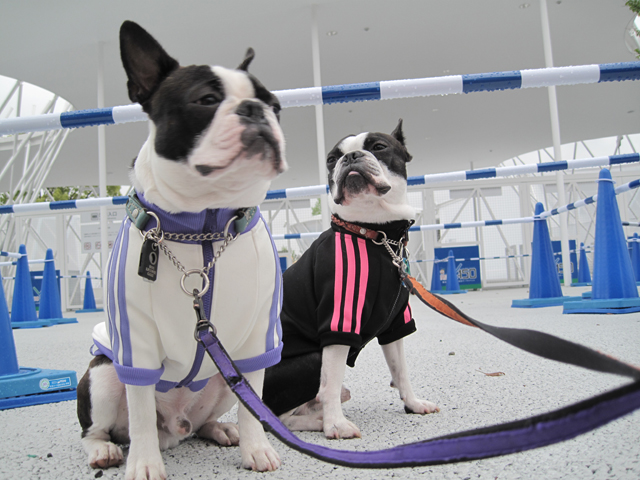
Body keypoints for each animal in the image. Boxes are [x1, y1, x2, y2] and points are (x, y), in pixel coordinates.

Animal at [76, 21, 286, 479]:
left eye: (275, 106)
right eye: (206, 100)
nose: (253, 109)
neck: (205, 226)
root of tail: (175, 425)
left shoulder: (257, 339)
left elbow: (256, 404)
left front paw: (257, 448)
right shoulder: (135, 344)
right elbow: (139, 412)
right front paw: (144, 463)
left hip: (224, 377)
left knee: (215, 414)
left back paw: (220, 430)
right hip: (102, 377)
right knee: (100, 428)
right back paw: (106, 450)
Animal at [262, 120, 439, 440]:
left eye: (379, 147)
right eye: (331, 159)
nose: (351, 157)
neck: (374, 233)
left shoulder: (395, 324)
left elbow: (401, 370)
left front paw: (413, 403)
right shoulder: (338, 322)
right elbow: (331, 381)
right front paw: (336, 424)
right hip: (311, 360)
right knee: (280, 418)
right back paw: (319, 421)